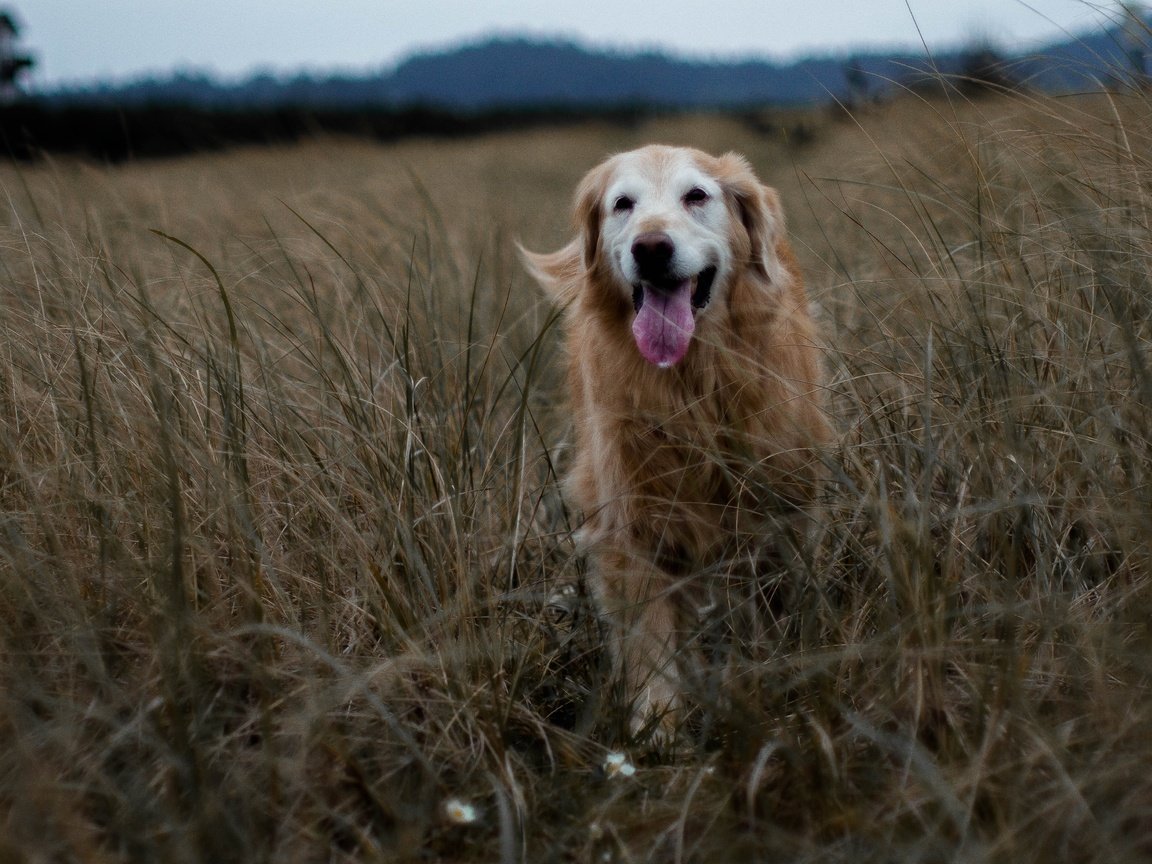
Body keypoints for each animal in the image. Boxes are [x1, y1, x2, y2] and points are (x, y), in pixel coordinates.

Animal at [523, 145, 829, 741]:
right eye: (623, 203)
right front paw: (658, 723)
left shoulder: (773, 506)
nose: (651, 247)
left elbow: (765, 607)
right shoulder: (632, 518)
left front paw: (765, 689)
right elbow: (650, 632)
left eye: (696, 196)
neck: (692, 385)